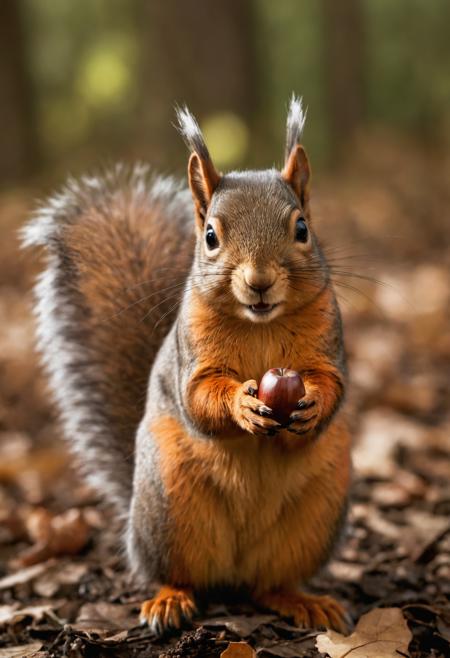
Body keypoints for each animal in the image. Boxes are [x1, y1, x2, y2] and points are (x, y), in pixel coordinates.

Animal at [23, 96, 352, 632]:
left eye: (302, 228)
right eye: (211, 236)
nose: (259, 281)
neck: (260, 324)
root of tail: (234, 572)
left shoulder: (329, 338)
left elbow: (332, 382)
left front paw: (312, 404)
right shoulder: (190, 356)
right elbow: (198, 397)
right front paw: (242, 405)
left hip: (316, 516)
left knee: (271, 583)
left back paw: (303, 601)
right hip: (171, 507)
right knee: (177, 573)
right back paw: (170, 600)